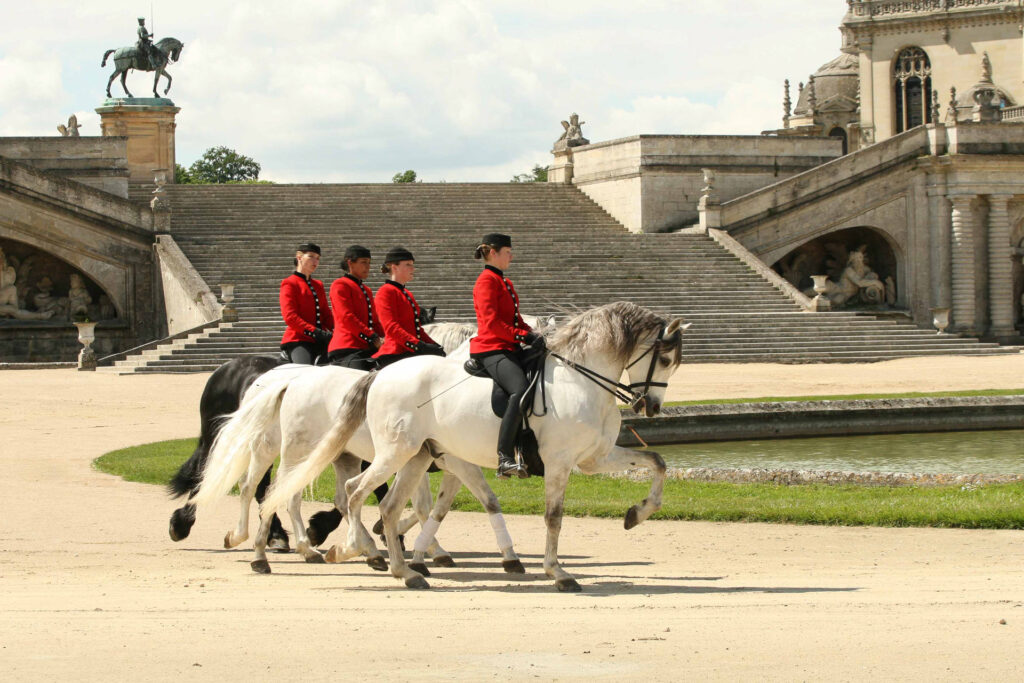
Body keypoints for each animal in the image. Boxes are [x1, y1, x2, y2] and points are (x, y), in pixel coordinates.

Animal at [264, 301, 692, 589]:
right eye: (665, 359)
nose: (651, 407)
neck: (582, 380)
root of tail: (381, 375)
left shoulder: (595, 458)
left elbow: (657, 461)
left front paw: (636, 513)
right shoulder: (557, 463)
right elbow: (553, 516)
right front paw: (557, 572)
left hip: (414, 457)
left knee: (385, 505)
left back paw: (401, 569)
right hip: (388, 453)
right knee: (347, 493)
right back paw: (349, 549)